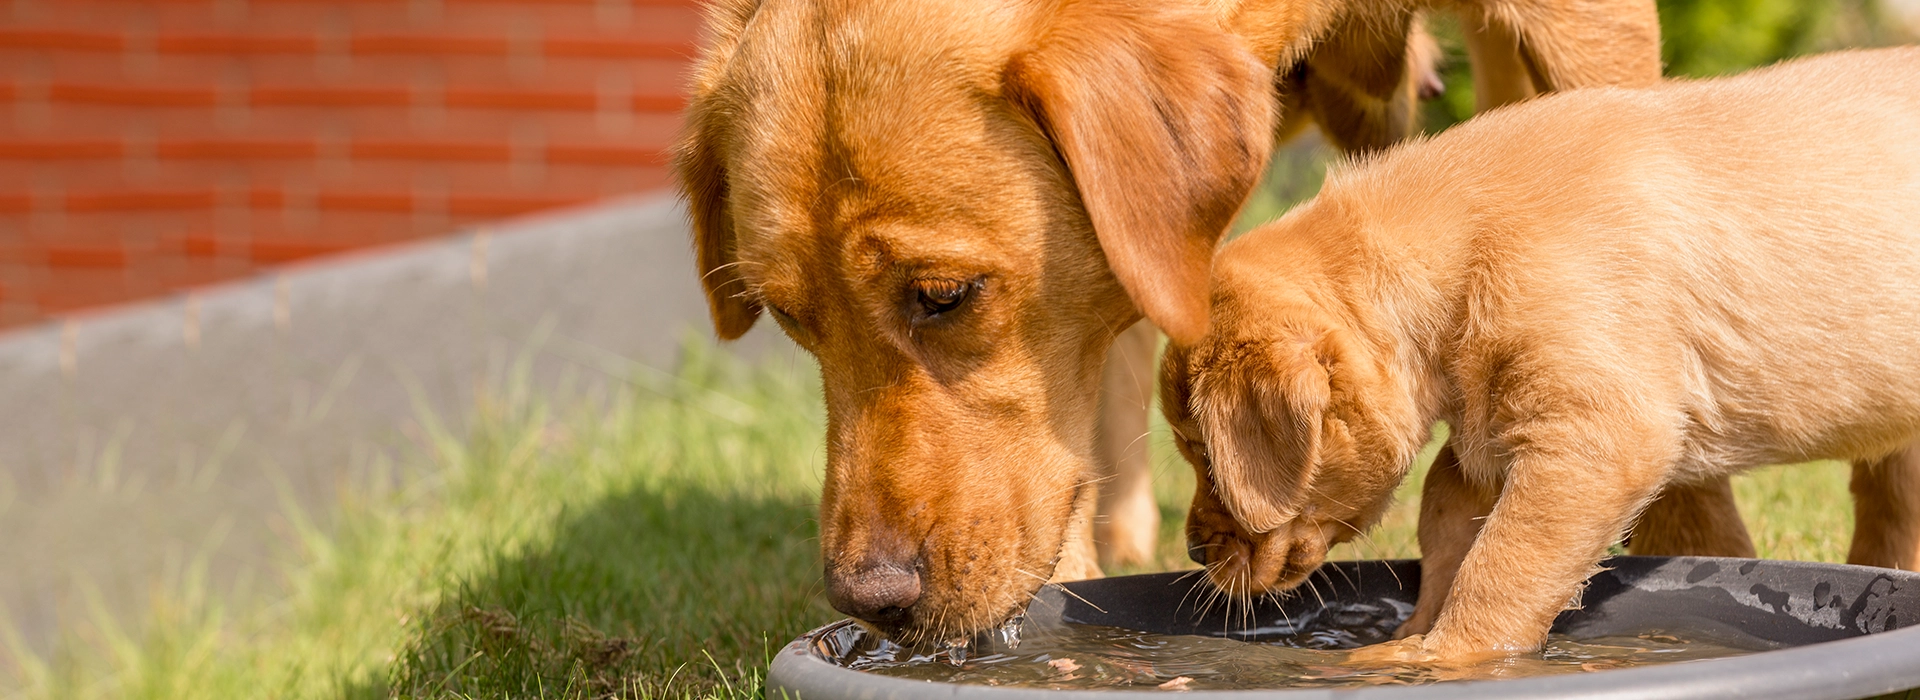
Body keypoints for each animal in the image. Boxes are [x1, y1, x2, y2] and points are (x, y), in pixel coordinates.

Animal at [1152, 47, 1920, 659]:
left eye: (1202, 451)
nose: (1190, 551)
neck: (1463, 249)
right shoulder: (1487, 430)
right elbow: (1447, 530)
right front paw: (1412, 638)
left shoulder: (1596, 439)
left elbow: (1501, 565)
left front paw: (1446, 657)